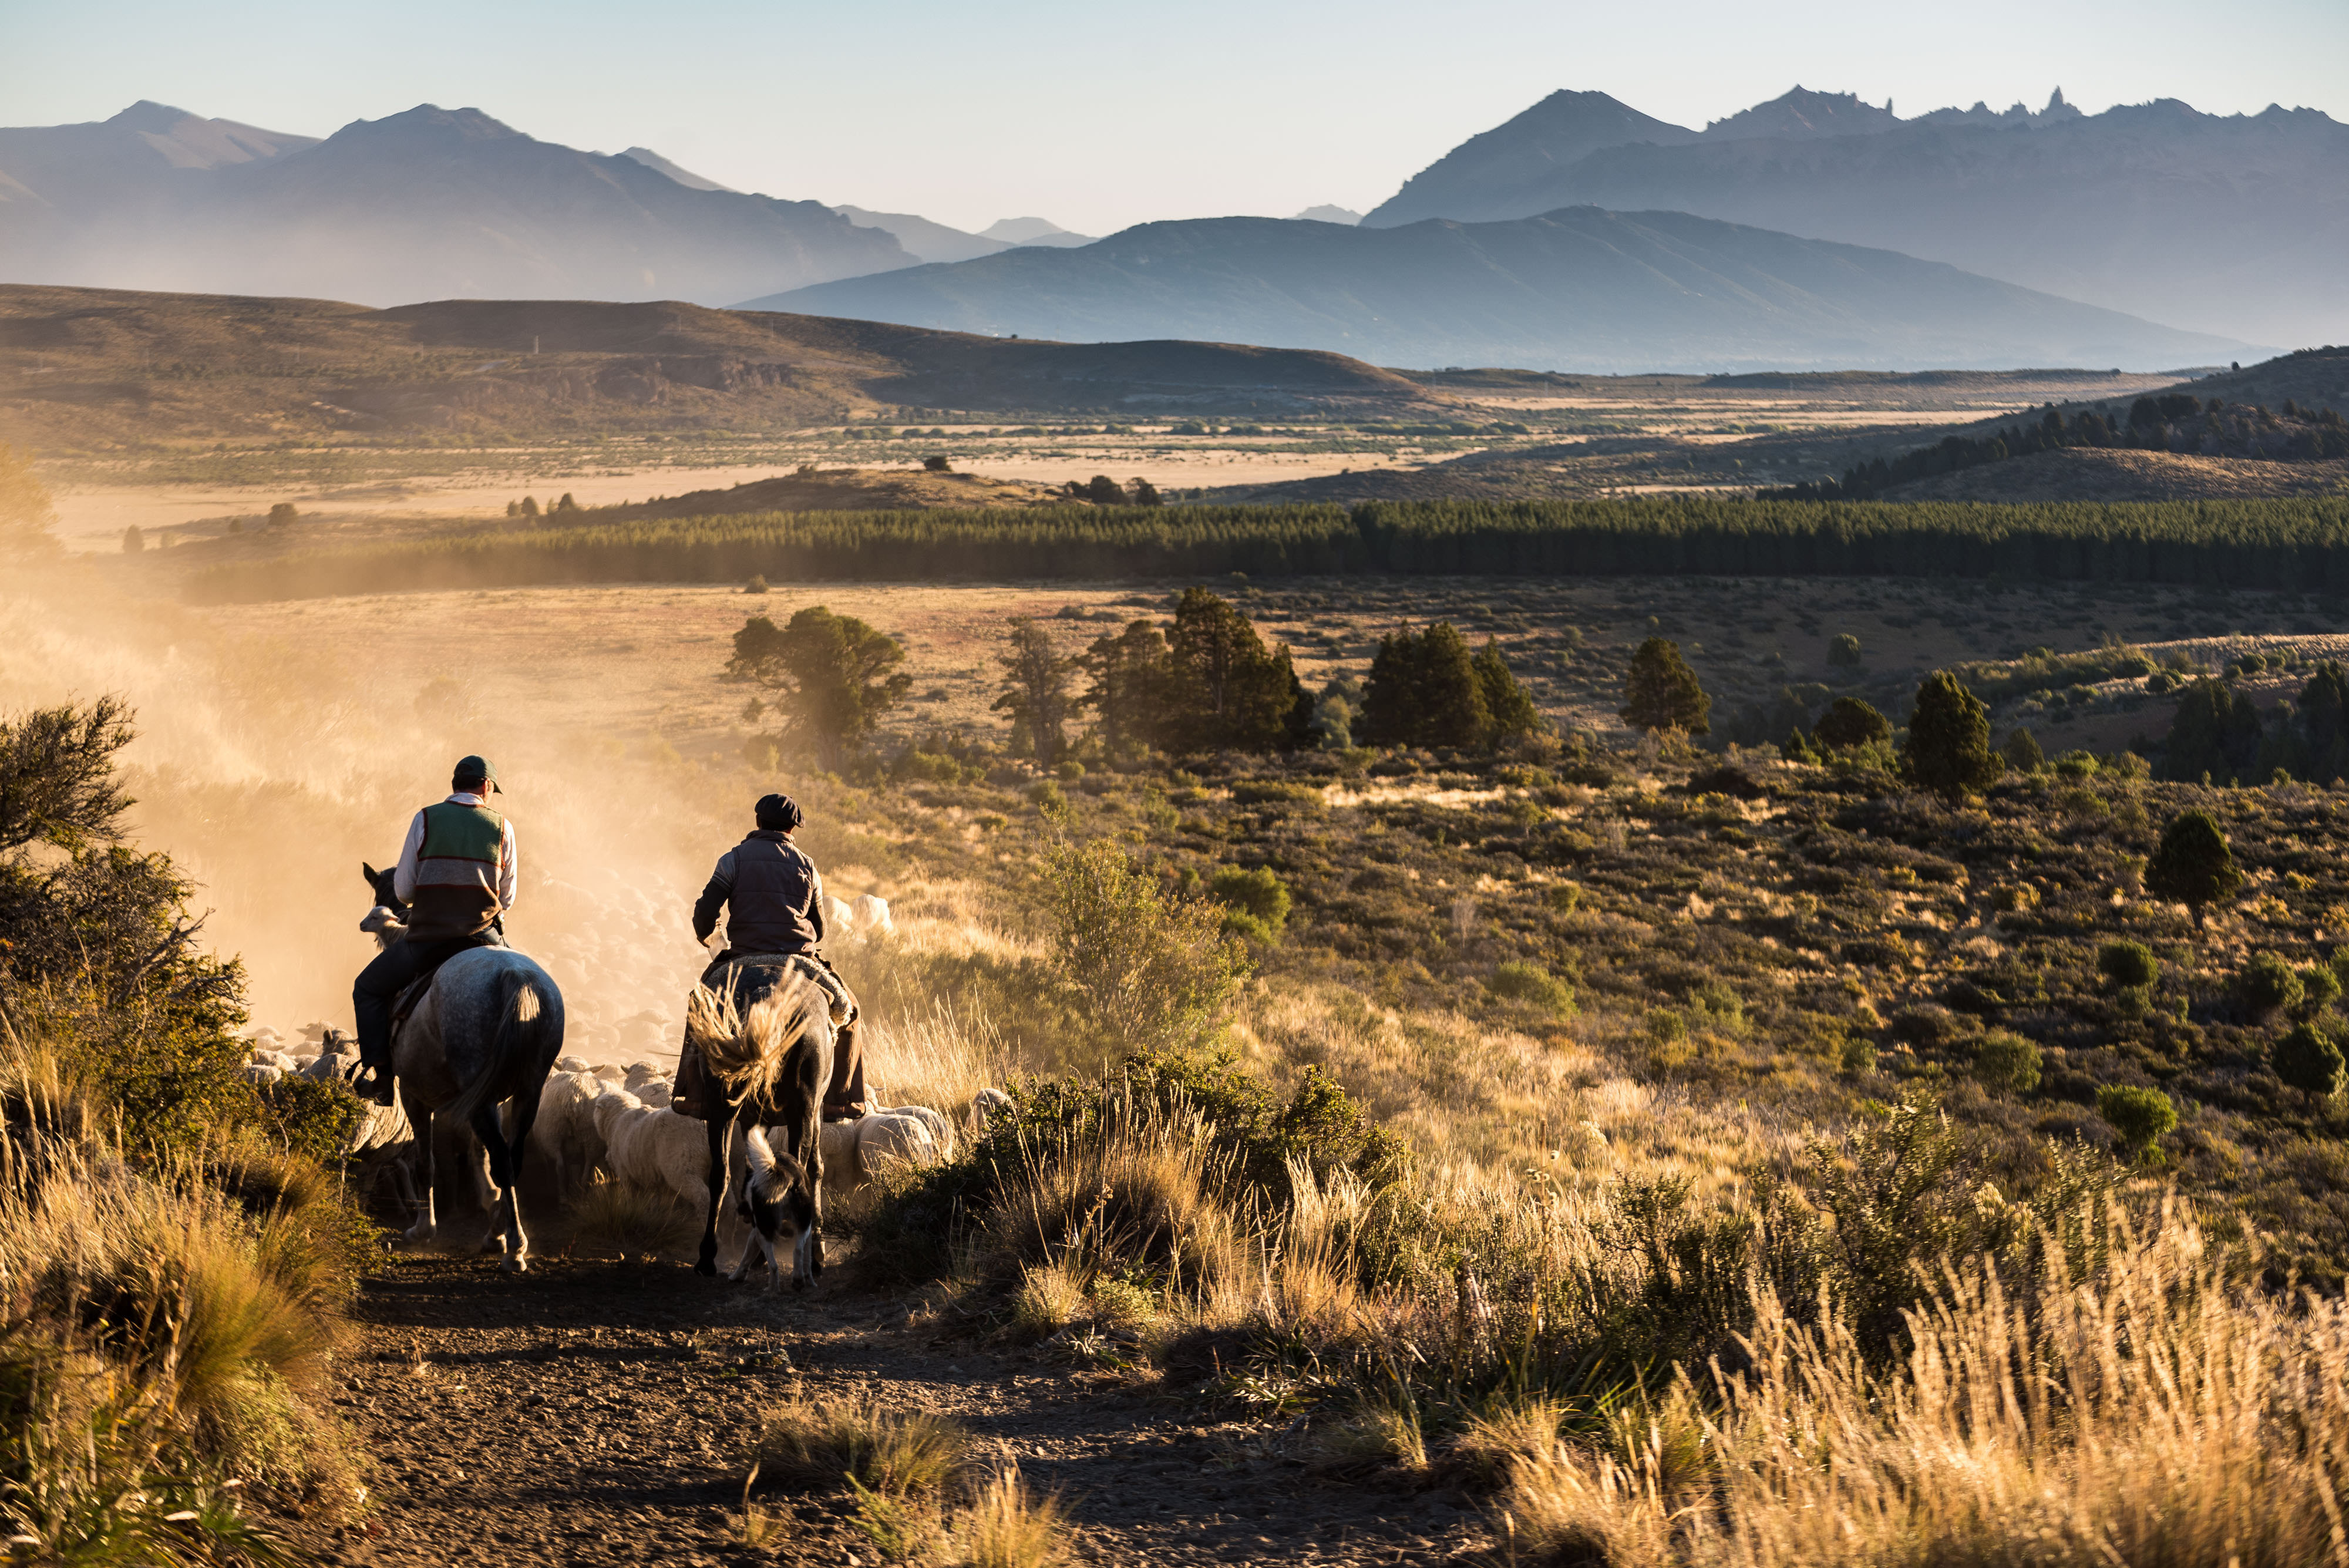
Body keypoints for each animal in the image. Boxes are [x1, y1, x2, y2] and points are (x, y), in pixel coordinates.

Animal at [359, 863, 566, 1267]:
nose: (364, 925)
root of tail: (515, 976)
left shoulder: (415, 1095)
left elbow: (427, 1163)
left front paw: (423, 1230)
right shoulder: (487, 1098)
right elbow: (477, 1157)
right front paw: (490, 1212)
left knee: (501, 1158)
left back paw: (513, 1247)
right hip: (527, 1091)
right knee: (510, 1157)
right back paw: (499, 1235)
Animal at [681, 962, 836, 1296]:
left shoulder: (753, 1119)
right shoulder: (814, 1111)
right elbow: (816, 1167)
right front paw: (816, 1252)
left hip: (722, 1105)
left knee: (721, 1174)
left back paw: (707, 1259)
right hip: (803, 1109)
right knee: (799, 1168)